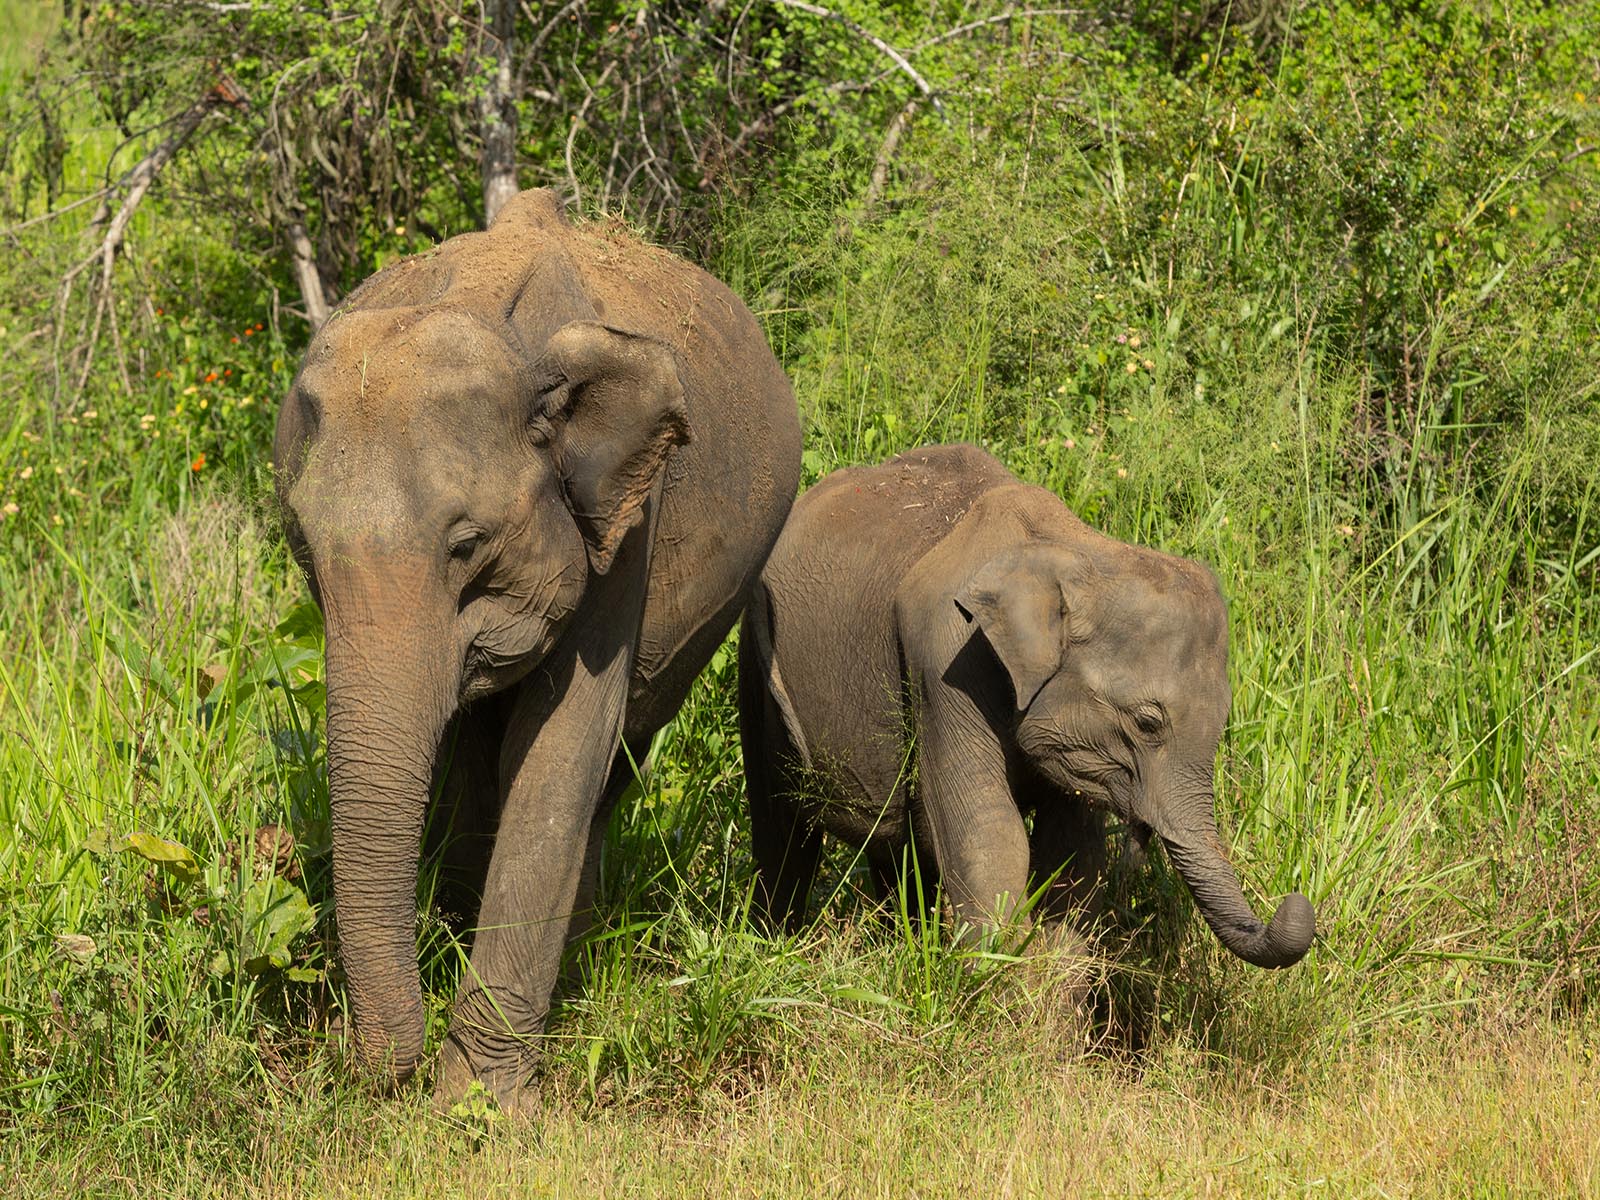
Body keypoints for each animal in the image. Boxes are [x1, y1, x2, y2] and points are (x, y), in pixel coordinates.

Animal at [273, 188, 802, 1107]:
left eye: (467, 544)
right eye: (303, 546)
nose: (354, 1056)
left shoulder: (626, 521)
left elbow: (558, 748)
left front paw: (478, 1104)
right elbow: (462, 751)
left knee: (618, 750)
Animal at [738, 443, 1313, 969]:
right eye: (1148, 723)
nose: (1293, 899)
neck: (1075, 552)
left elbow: (1071, 860)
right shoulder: (944, 659)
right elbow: (990, 840)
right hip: (754, 651)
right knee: (781, 831)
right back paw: (773, 949)